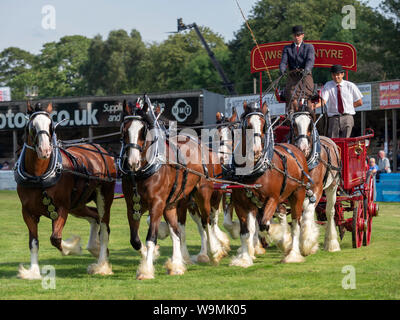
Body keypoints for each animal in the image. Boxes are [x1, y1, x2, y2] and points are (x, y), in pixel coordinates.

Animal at [16, 101, 116, 278]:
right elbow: (33, 242)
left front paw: (73, 248)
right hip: (77, 204)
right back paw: (94, 248)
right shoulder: (27, 212)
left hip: (104, 196)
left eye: (51, 126)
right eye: (32, 126)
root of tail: (102, 151)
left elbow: (55, 238)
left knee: (104, 229)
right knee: (94, 216)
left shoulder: (61, 208)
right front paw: (33, 272)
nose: (45, 150)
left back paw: (101, 265)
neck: (39, 176)